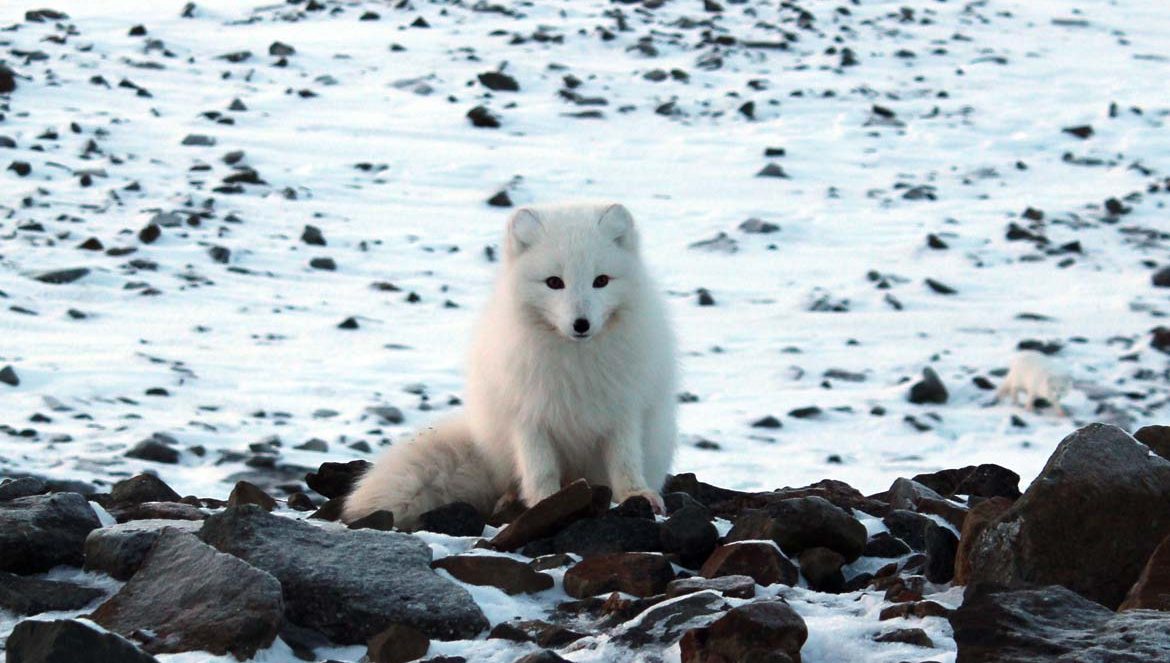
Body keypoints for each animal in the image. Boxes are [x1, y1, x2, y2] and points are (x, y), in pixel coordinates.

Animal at [341, 199, 678, 526]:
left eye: (602, 281)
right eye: (554, 282)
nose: (581, 324)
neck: (575, 361)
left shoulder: (624, 410)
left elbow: (625, 461)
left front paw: (637, 495)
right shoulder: (527, 414)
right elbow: (540, 469)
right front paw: (548, 503)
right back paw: (510, 498)